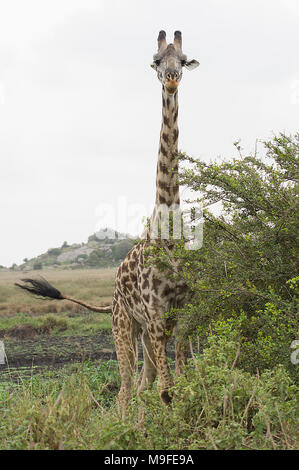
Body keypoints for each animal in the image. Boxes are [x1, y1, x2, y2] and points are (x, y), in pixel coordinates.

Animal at [15, 31, 200, 416]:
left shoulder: (182, 313)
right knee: (126, 388)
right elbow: (167, 391)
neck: (168, 233)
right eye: (156, 60)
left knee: (142, 384)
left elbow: (179, 384)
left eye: (183, 59)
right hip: (122, 325)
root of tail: (112, 291)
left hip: (143, 331)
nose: (172, 79)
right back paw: (123, 418)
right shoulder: (156, 314)